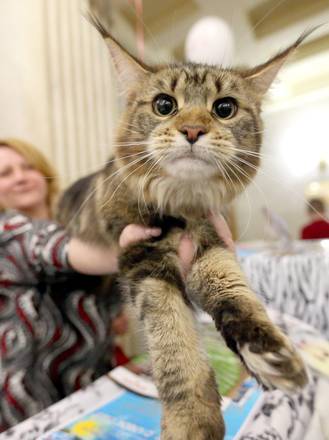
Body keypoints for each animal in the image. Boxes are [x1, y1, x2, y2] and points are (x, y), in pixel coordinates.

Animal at [58, 18, 308, 440]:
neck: (183, 204)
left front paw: (269, 354)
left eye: (224, 108)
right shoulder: (143, 255)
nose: (192, 130)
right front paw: (191, 421)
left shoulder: (210, 246)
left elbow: (237, 298)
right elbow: (176, 347)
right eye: (164, 105)